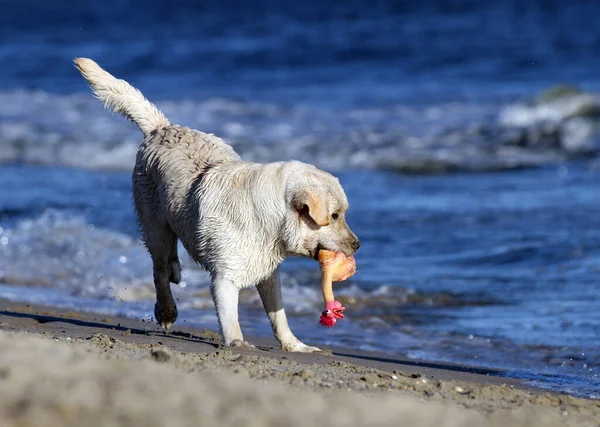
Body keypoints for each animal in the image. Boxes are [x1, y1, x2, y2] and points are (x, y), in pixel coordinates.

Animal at [72, 58, 358, 352]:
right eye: (335, 215)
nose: (357, 244)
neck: (270, 223)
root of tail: (161, 128)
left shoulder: (269, 274)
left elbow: (279, 316)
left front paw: (296, 345)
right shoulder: (225, 277)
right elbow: (230, 315)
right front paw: (237, 342)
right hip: (155, 225)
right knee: (159, 270)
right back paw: (166, 310)